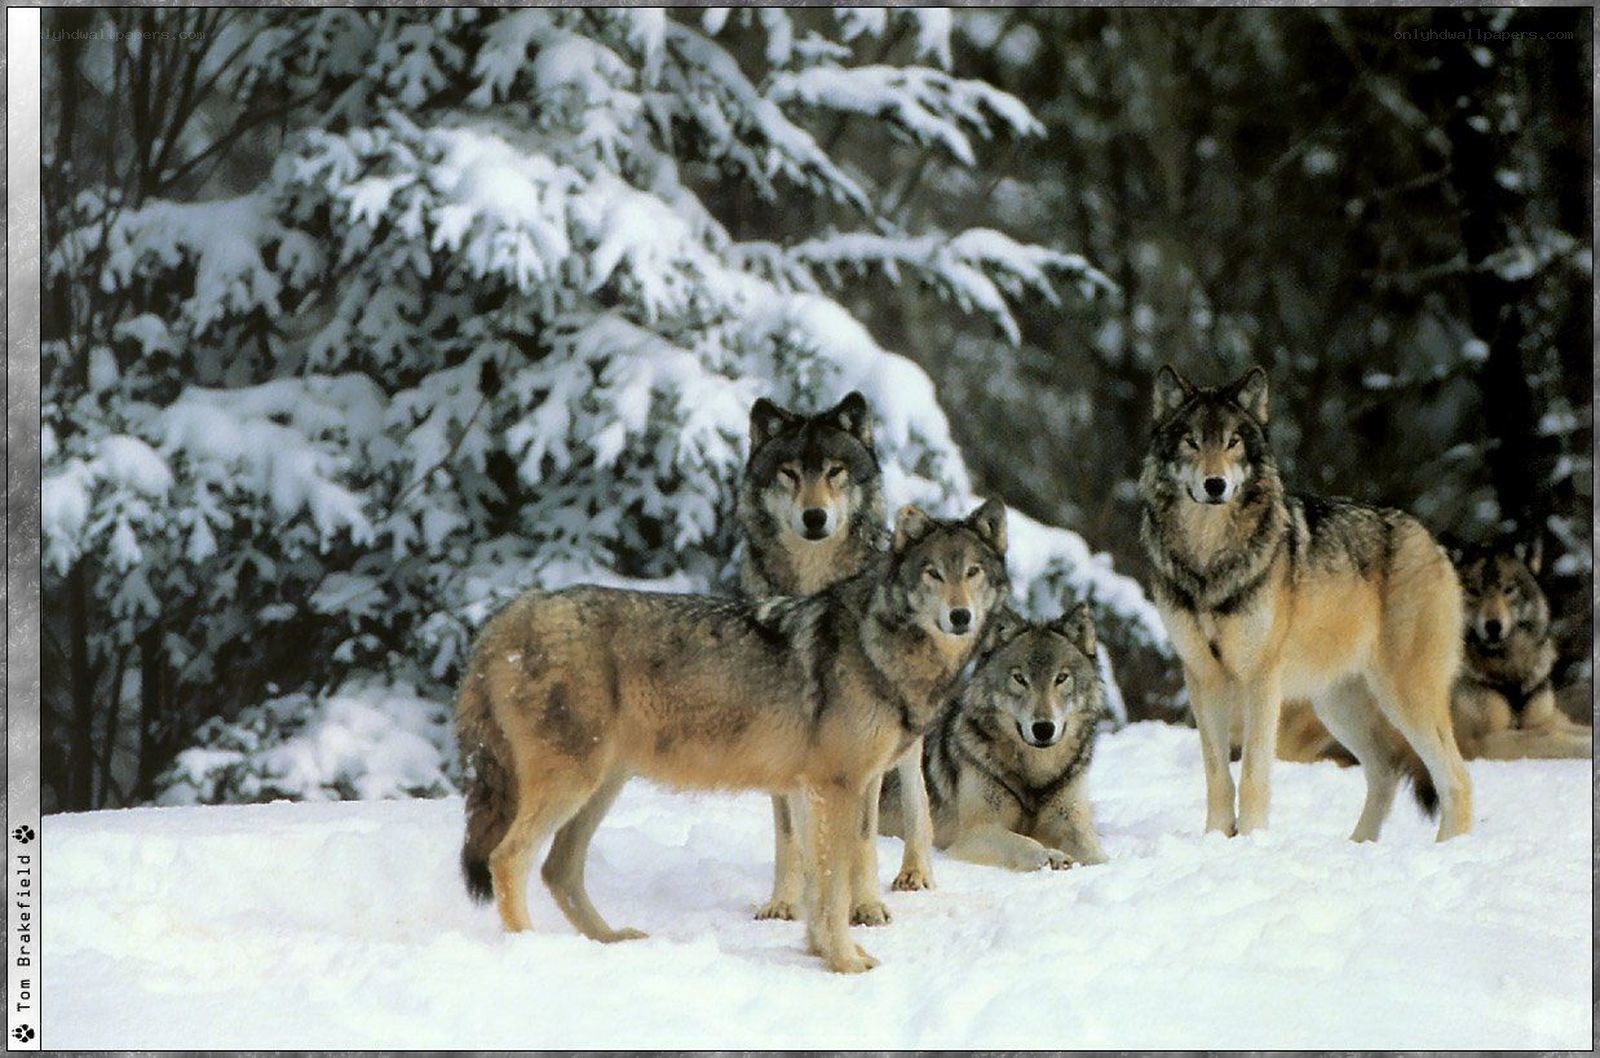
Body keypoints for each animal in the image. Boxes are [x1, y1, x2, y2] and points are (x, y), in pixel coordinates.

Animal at [456, 500, 1009, 973]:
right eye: (933, 573)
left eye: (972, 573)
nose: (960, 616)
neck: (878, 646)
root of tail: (514, 612)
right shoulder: (838, 788)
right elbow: (832, 888)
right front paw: (845, 963)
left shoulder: (812, 791)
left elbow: (817, 882)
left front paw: (819, 952)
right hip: (573, 785)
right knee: (508, 859)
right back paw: (529, 949)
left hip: (600, 788)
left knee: (558, 870)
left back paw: (610, 940)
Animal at [736, 392, 935, 926]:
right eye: (789, 473)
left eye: (834, 471)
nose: (814, 517)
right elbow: (790, 832)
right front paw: (785, 901)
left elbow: (864, 835)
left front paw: (864, 906)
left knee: (917, 795)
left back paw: (915, 872)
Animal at [881, 604, 1109, 871]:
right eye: (1020, 678)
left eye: (1061, 678)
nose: (1043, 728)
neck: (1035, 774)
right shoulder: (973, 834)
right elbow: (1025, 842)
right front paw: (1050, 856)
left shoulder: (1071, 822)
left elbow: (1093, 851)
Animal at [1139, 364, 1472, 842]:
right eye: (1193, 442)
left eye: (1233, 441)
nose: (1215, 485)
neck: (1209, 560)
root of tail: (1431, 539)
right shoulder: (1203, 677)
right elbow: (1218, 776)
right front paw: (1217, 839)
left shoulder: (1260, 679)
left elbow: (1253, 774)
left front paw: (1252, 840)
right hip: (1337, 705)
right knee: (1387, 769)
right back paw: (1358, 846)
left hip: (1405, 696)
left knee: (1456, 780)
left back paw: (1448, 849)